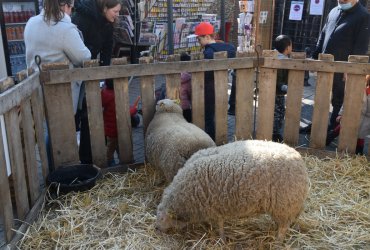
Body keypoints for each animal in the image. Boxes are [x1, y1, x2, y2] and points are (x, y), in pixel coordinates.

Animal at [155, 140, 310, 241]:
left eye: (162, 218)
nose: (156, 229)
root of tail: (299, 160)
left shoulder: (214, 208)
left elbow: (220, 226)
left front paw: (222, 239)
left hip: (284, 205)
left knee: (283, 227)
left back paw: (278, 241)